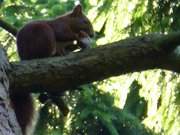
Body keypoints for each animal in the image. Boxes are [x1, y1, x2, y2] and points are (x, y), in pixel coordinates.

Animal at [11, 4, 94, 135]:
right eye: (85, 21)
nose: (92, 35)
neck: (68, 22)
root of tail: (25, 57)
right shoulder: (60, 27)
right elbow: (62, 34)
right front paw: (79, 36)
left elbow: (69, 46)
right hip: (45, 35)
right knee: (44, 52)